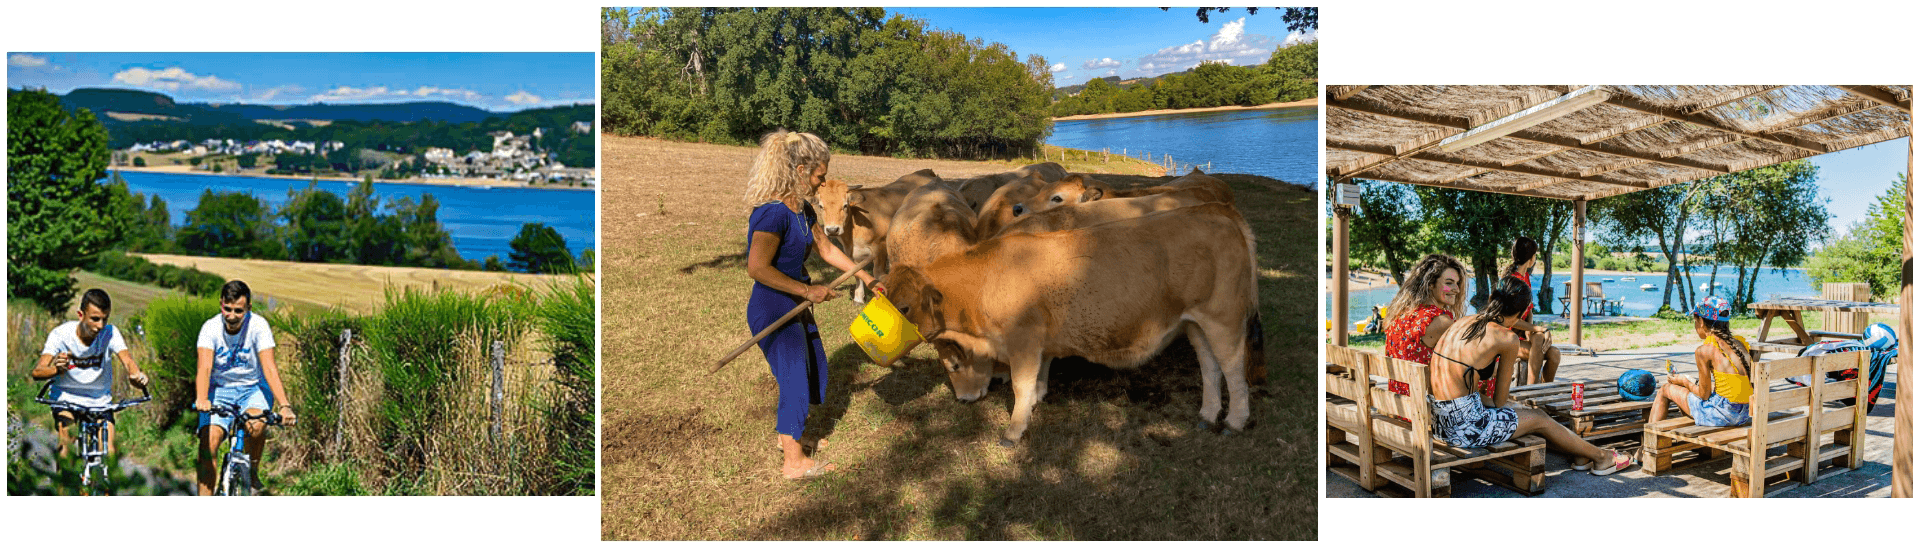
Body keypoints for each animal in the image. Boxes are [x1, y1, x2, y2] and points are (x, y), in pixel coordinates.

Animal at [810, 168, 936, 299]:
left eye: (845, 205)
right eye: (821, 206)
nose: (832, 230)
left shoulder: (880, 247)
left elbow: (878, 273)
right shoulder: (852, 252)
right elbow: (856, 273)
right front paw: (858, 298)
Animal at [879, 202, 1259, 446]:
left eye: (904, 306)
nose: (963, 400)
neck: (985, 277)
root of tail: (1217, 214)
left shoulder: (1023, 339)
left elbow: (1020, 385)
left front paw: (1014, 431)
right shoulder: (1041, 341)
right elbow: (1038, 377)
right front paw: (1035, 402)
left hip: (1223, 319)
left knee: (1232, 368)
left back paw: (1235, 421)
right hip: (1196, 324)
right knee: (1210, 367)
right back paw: (1208, 414)